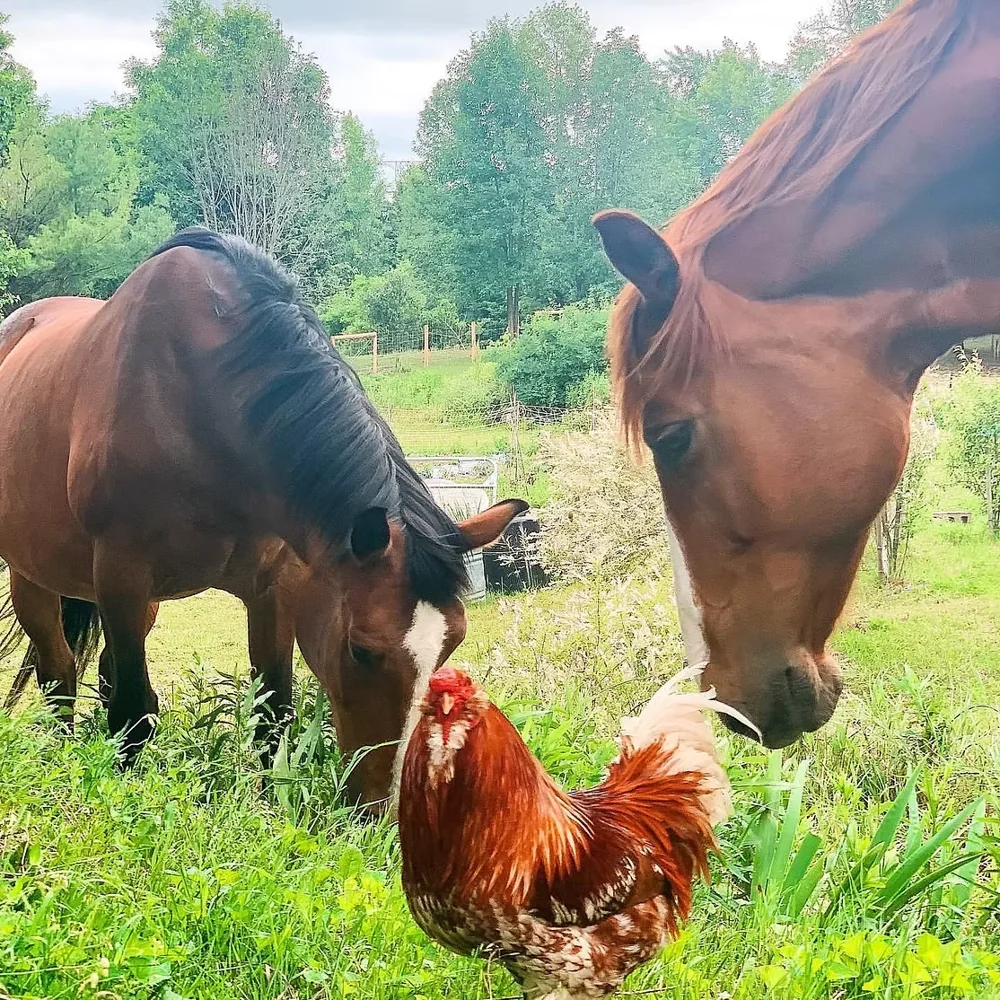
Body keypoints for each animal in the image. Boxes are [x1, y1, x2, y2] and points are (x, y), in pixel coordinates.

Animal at [0, 227, 526, 809]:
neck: (197, 399)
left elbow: (272, 711)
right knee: (59, 677)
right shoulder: (121, 575)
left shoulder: (275, 588)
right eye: (362, 651)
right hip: (36, 579)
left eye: (451, 644)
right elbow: (134, 711)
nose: (384, 804)